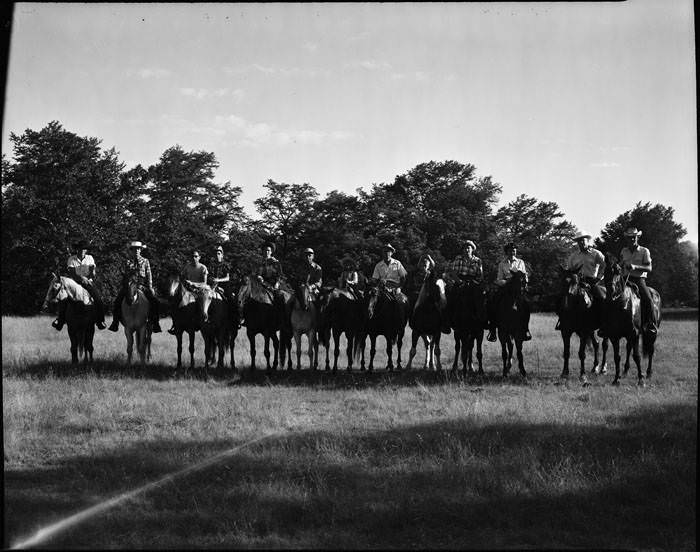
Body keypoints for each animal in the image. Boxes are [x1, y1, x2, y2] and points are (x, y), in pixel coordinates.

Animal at [600, 253, 660, 384]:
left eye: (618, 271)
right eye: (605, 271)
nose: (611, 291)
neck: (622, 304)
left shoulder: (635, 333)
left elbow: (637, 356)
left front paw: (641, 380)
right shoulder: (614, 335)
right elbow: (617, 357)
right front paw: (616, 379)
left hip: (651, 331)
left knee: (651, 349)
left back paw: (648, 373)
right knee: (628, 348)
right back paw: (625, 371)